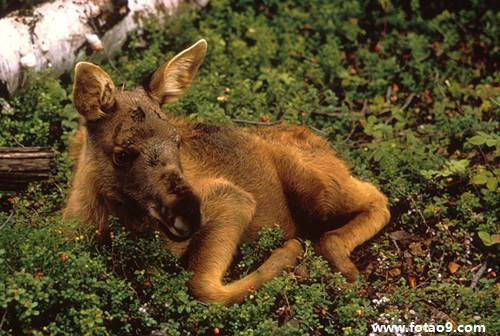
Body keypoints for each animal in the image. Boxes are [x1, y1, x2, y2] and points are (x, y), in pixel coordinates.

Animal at [63, 40, 390, 308]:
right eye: (121, 154)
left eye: (176, 141)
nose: (189, 215)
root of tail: (325, 146)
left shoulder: (231, 199)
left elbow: (202, 286)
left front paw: (288, 255)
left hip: (317, 190)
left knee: (375, 200)